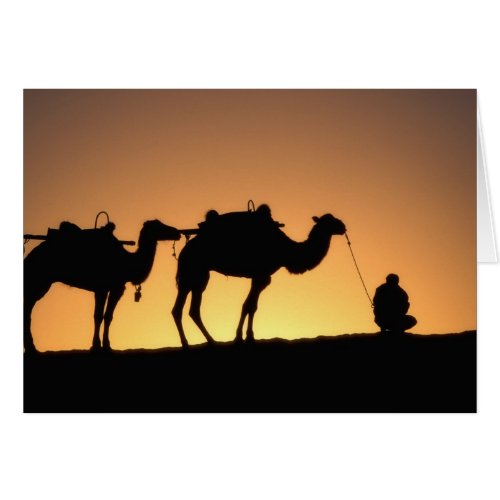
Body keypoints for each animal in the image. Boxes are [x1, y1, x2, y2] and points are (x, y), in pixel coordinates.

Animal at [23, 219, 180, 352]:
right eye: (159, 225)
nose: (177, 232)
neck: (127, 263)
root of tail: (28, 257)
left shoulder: (116, 288)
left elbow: (108, 316)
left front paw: (107, 346)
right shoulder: (102, 288)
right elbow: (98, 315)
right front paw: (96, 346)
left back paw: (31, 348)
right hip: (39, 281)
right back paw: (31, 348)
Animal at [171, 207, 344, 348]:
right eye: (329, 221)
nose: (343, 226)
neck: (285, 250)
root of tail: (184, 252)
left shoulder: (263, 277)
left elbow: (250, 306)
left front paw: (245, 336)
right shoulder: (260, 275)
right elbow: (249, 306)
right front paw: (243, 337)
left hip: (197, 275)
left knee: (187, 309)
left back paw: (201, 342)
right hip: (193, 272)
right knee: (184, 308)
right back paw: (199, 342)